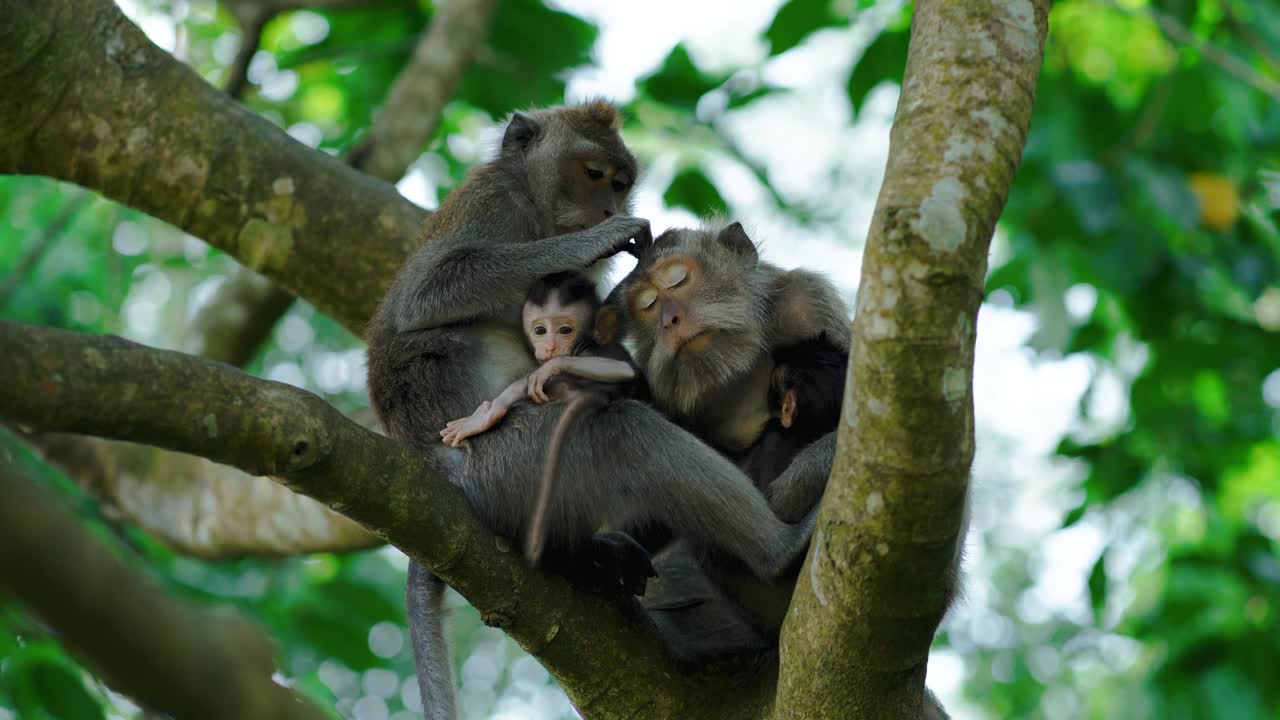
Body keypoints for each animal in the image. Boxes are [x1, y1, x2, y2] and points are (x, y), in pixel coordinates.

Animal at [437, 269, 650, 566]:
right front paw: (485, 416)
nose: (549, 348)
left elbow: (625, 369)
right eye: (540, 330)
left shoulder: (594, 350)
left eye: (565, 330)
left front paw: (551, 367)